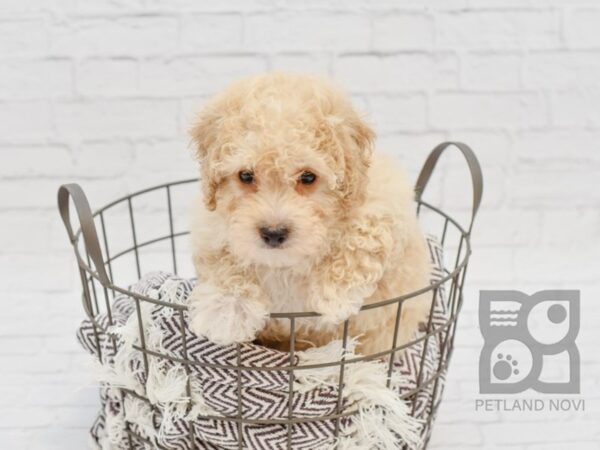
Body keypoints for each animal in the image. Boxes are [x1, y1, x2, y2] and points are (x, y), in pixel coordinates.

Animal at [188, 73, 432, 356]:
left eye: (308, 177)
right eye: (246, 176)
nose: (273, 233)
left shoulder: (384, 200)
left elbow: (362, 237)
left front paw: (334, 294)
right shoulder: (210, 226)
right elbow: (223, 260)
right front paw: (226, 311)